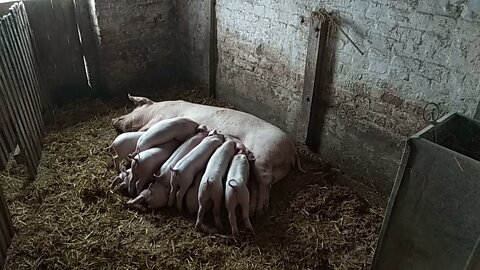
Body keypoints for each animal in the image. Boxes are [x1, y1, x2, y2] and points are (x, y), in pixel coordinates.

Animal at [111, 94, 304, 217]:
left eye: (134, 108)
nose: (114, 119)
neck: (155, 110)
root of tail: (291, 148)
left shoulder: (159, 119)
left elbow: (143, 134)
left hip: (264, 156)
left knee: (266, 182)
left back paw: (259, 212)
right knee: (258, 186)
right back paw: (252, 211)